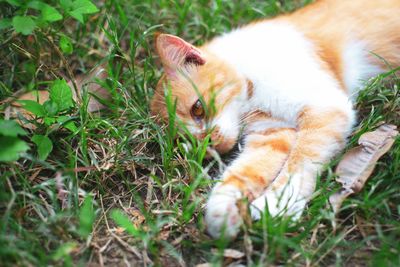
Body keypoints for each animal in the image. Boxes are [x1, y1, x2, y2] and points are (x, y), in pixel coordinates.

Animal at [150, 0, 400, 239]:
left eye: (198, 110)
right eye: (186, 142)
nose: (210, 145)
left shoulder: (327, 107)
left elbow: (298, 163)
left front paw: (275, 205)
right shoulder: (272, 133)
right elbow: (243, 172)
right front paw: (222, 210)